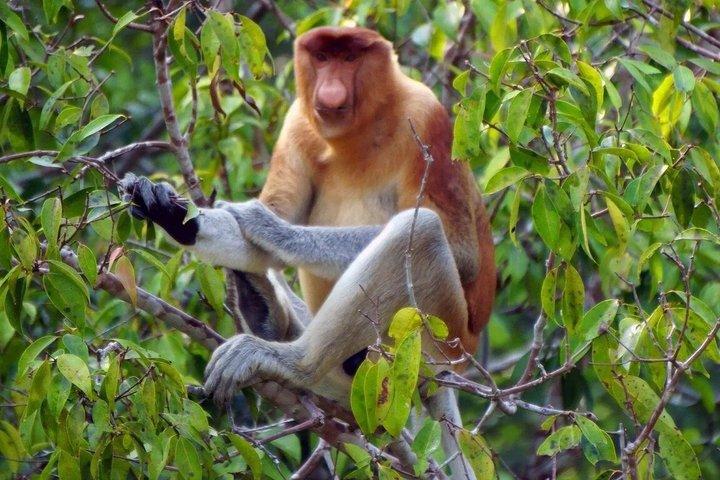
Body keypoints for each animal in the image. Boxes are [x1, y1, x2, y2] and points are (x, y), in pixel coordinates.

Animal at [121, 26, 495, 479]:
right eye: (321, 58)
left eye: (350, 59)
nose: (330, 89)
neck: (357, 134)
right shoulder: (298, 124)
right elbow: (262, 231)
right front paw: (171, 212)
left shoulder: (427, 118)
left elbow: (462, 253)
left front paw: (269, 226)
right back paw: (265, 313)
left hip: (435, 339)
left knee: (421, 230)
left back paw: (286, 360)